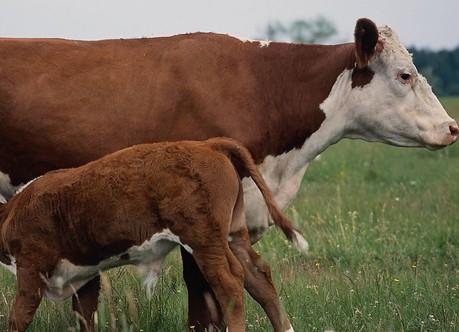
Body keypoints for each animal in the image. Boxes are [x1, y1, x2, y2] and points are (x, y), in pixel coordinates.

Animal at [0, 137, 310, 332]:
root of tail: (208, 144)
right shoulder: (84, 276)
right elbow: (85, 318)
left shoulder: (31, 269)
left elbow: (18, 317)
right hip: (233, 234)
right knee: (258, 276)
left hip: (204, 240)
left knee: (231, 284)